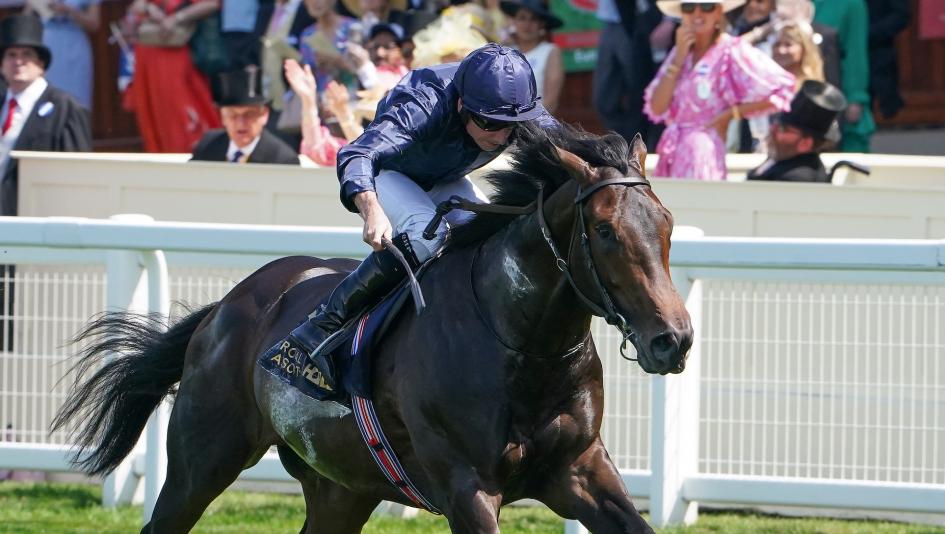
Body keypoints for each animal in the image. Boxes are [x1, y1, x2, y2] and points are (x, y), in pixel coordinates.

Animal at [52, 124, 693, 533]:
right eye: (606, 231)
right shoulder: (468, 487)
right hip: (201, 459)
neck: (522, 344)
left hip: (341, 487)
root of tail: (221, 310)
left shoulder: (579, 470)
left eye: (666, 223)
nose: (673, 339)